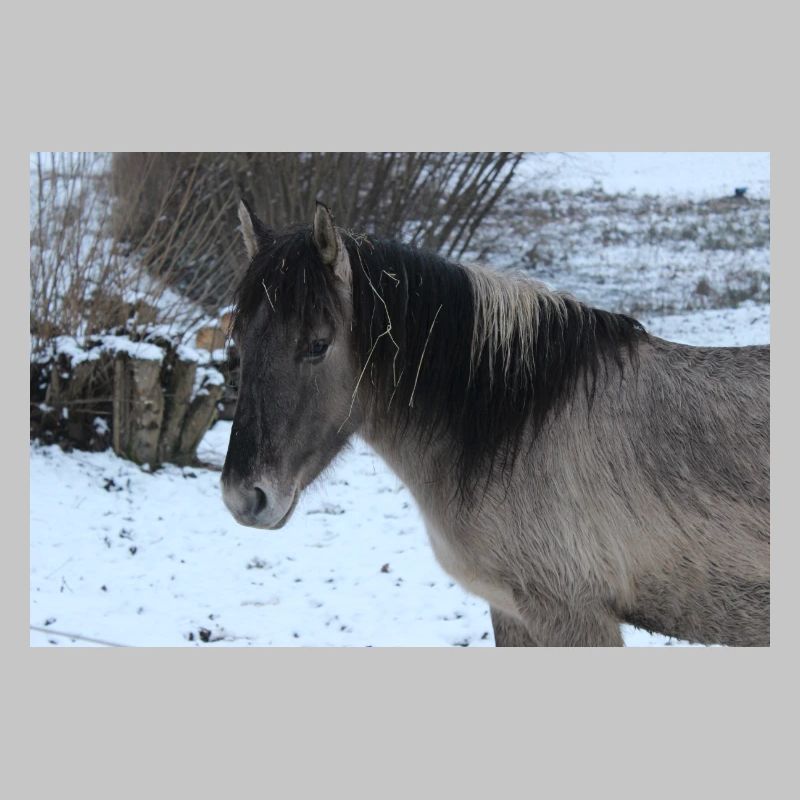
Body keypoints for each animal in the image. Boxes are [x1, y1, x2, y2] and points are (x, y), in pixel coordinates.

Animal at [221, 200, 770, 647]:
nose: (244, 498)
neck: (521, 429)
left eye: (317, 344)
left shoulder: (574, 616)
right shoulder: (512, 611)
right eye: (240, 341)